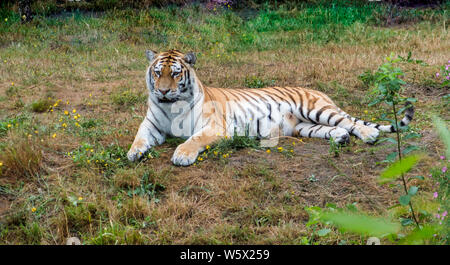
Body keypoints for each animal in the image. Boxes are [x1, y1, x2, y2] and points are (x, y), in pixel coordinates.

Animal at [126, 49, 414, 165]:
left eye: (175, 74)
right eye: (157, 73)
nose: (163, 91)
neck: (171, 106)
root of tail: (318, 90)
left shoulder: (214, 127)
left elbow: (194, 139)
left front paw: (182, 155)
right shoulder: (151, 125)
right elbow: (139, 138)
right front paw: (133, 153)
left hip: (317, 109)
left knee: (350, 122)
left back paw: (368, 134)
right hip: (304, 127)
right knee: (334, 129)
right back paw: (341, 138)